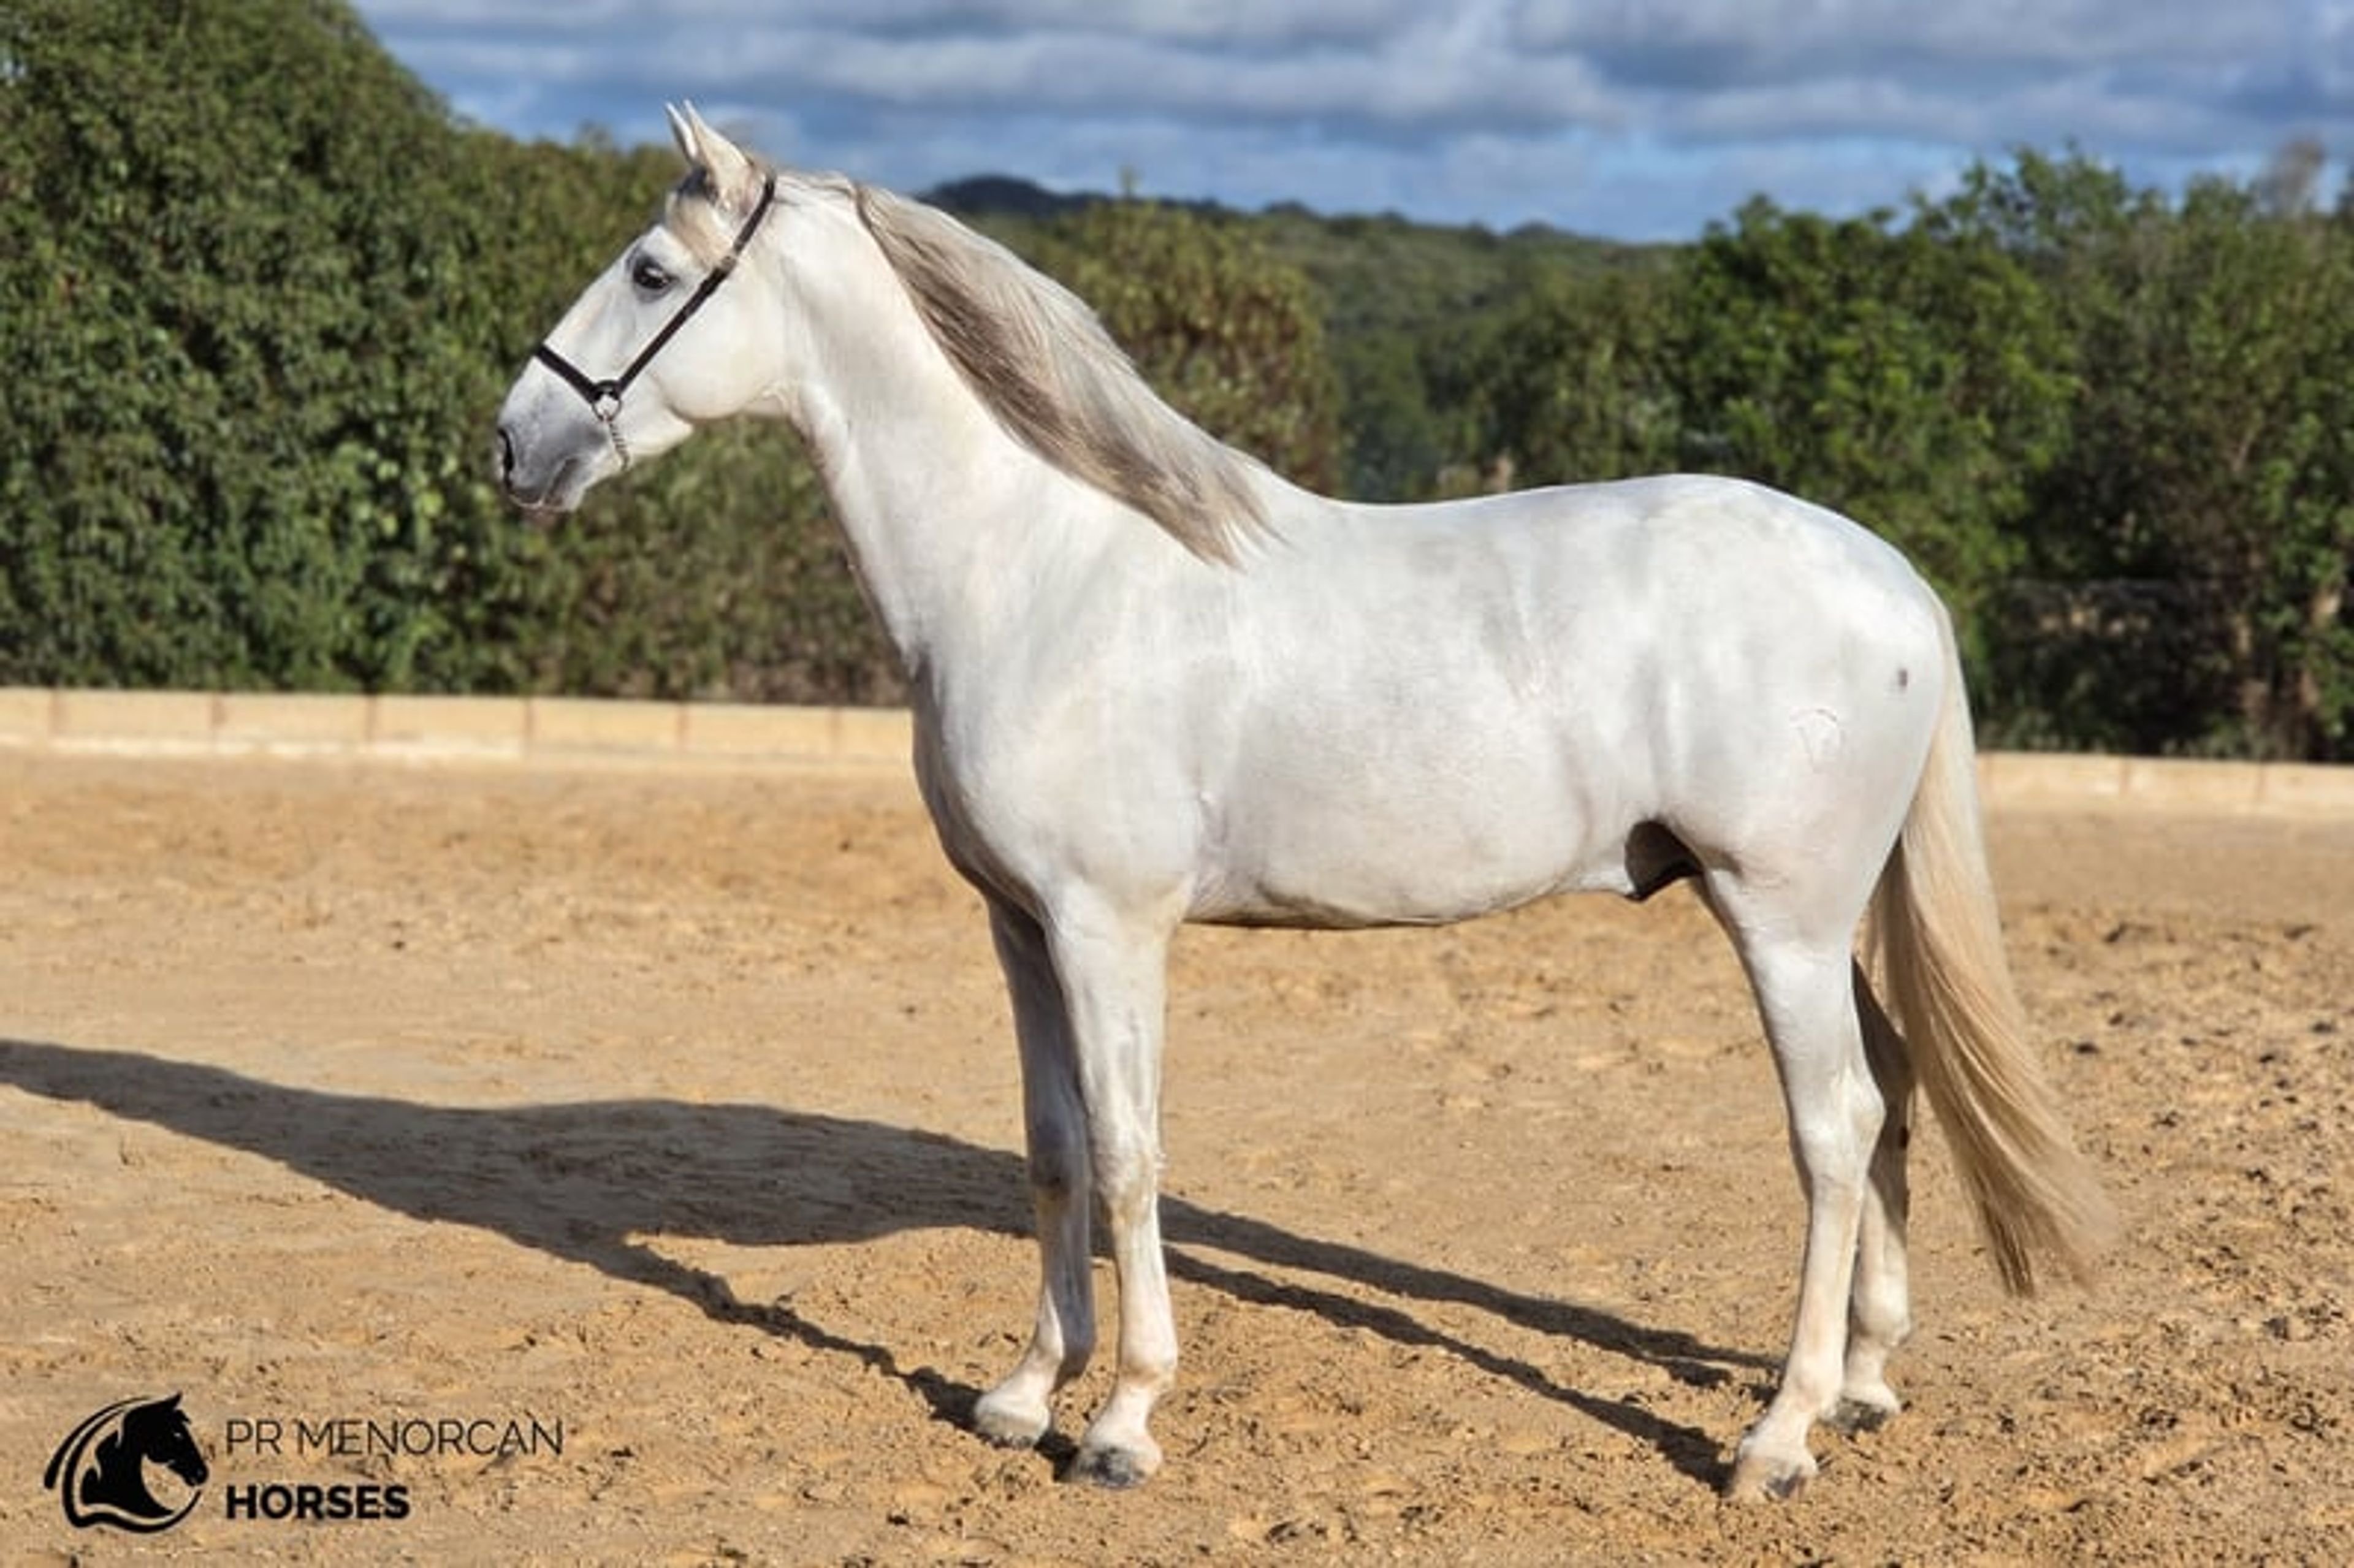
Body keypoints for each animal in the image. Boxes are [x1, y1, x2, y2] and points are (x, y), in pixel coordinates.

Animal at [496, 105, 2115, 1501]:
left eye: (650, 273)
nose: (516, 444)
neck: (1041, 570)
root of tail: (1892, 577)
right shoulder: (1019, 929)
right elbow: (1053, 1148)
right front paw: (1020, 1395)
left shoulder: (1108, 929)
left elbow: (1132, 1154)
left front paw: (1123, 1422)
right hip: (1824, 917)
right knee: (1896, 1091)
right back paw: (1866, 1383)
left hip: (1780, 917)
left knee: (1836, 1128)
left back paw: (1777, 1438)